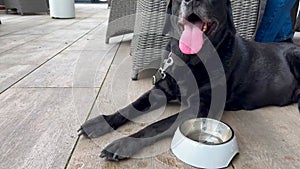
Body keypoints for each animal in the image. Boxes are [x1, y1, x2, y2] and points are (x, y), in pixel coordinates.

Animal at [78, 0, 300, 161]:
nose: (193, 0)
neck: (189, 60)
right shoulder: (160, 90)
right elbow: (131, 107)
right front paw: (103, 122)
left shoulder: (199, 109)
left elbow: (154, 126)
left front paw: (123, 143)